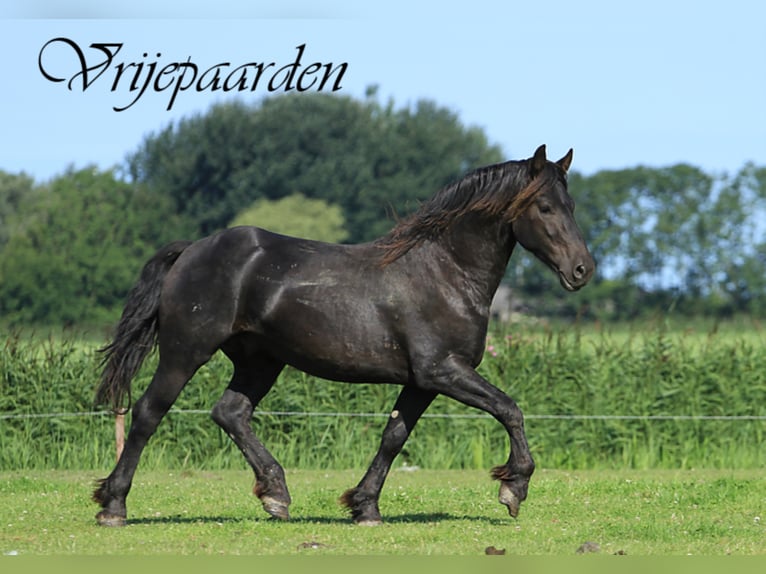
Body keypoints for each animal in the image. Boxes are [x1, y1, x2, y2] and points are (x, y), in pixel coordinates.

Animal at [92, 144, 595, 526]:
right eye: (545, 207)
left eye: (572, 207)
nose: (582, 270)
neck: (445, 272)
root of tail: (191, 250)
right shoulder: (443, 371)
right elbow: (510, 409)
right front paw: (514, 488)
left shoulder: (421, 382)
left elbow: (393, 437)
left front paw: (365, 507)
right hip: (185, 351)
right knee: (148, 413)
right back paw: (113, 506)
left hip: (260, 361)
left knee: (230, 412)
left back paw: (276, 495)